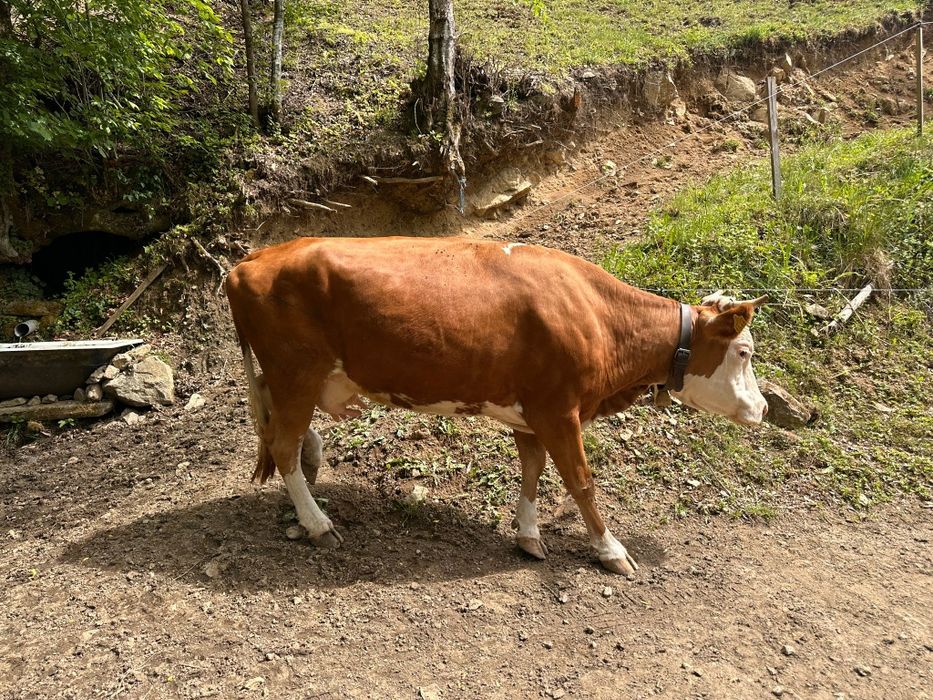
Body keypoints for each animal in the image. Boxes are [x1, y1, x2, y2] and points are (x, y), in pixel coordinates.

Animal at [226, 236, 768, 575]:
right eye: (744, 352)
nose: (763, 409)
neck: (599, 319)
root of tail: (251, 259)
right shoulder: (558, 409)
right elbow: (581, 482)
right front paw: (610, 549)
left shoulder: (534, 412)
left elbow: (533, 469)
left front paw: (528, 535)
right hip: (296, 372)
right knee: (282, 443)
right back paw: (318, 523)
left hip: (292, 379)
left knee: (278, 430)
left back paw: (313, 470)